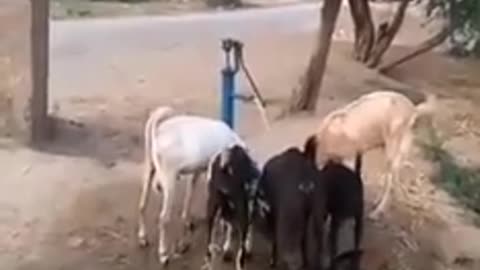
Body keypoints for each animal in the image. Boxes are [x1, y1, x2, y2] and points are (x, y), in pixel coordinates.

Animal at [136, 106, 246, 266]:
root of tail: (159, 130)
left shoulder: (198, 171)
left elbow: (190, 195)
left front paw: (187, 222)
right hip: (169, 178)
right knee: (163, 218)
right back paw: (163, 254)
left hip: (149, 167)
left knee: (142, 204)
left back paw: (143, 237)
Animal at [306, 90, 436, 219]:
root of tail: (413, 109)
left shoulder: (349, 157)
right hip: (386, 148)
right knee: (388, 176)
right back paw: (377, 203)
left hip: (394, 147)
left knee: (391, 180)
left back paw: (378, 212)